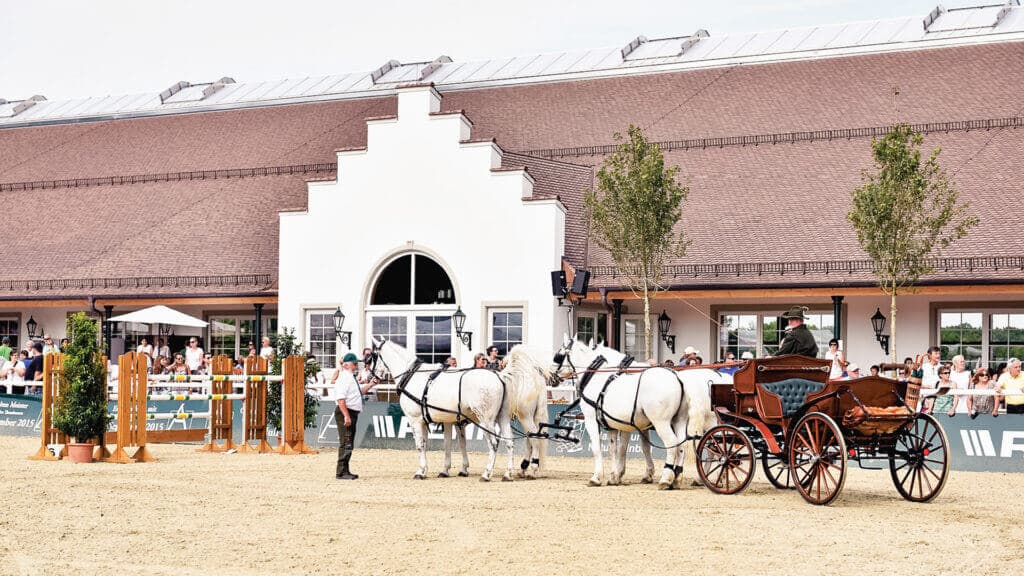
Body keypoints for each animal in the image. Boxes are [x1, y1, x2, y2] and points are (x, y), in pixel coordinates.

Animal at [364, 336, 516, 479]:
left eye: (373, 356)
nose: (370, 377)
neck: (412, 375)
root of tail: (499, 376)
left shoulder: (415, 420)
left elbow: (420, 445)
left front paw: (420, 471)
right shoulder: (438, 420)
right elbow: (442, 444)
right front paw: (436, 470)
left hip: (486, 420)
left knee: (494, 443)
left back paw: (487, 473)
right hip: (502, 417)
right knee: (509, 441)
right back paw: (508, 473)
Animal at [557, 334, 716, 485]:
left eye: (558, 355)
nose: (553, 376)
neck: (599, 377)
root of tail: (679, 379)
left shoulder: (593, 420)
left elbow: (599, 447)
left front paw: (598, 477)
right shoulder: (621, 424)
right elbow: (622, 448)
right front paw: (617, 476)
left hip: (664, 422)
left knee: (679, 444)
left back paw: (669, 478)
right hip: (680, 420)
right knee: (685, 444)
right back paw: (678, 477)